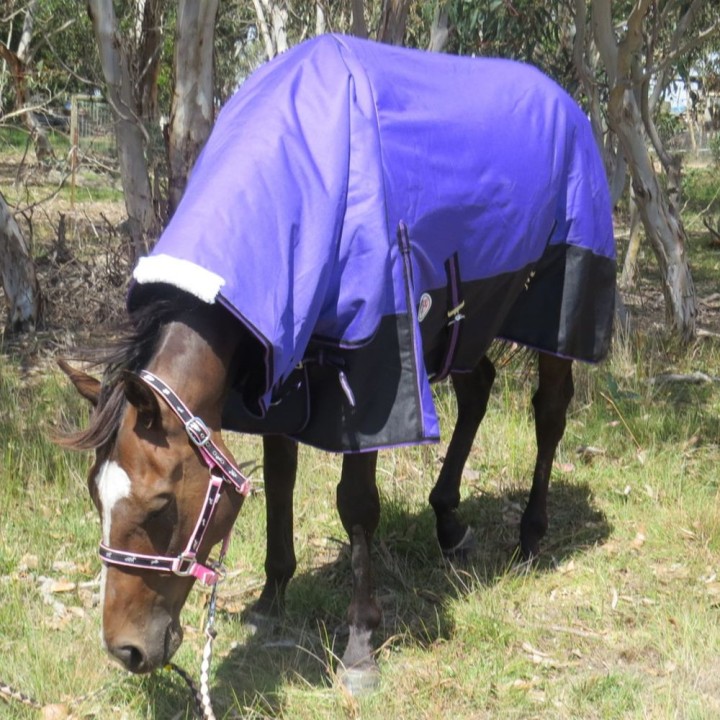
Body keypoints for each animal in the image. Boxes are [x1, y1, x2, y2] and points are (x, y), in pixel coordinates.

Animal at [59, 34, 615, 692]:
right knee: (479, 389)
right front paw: (273, 596)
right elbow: (280, 483)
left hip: (559, 298)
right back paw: (448, 522)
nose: (126, 651)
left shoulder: (374, 379)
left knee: (550, 412)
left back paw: (531, 534)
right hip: (469, 315)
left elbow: (357, 506)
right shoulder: (278, 369)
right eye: (96, 496)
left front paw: (359, 644)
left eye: (161, 505)